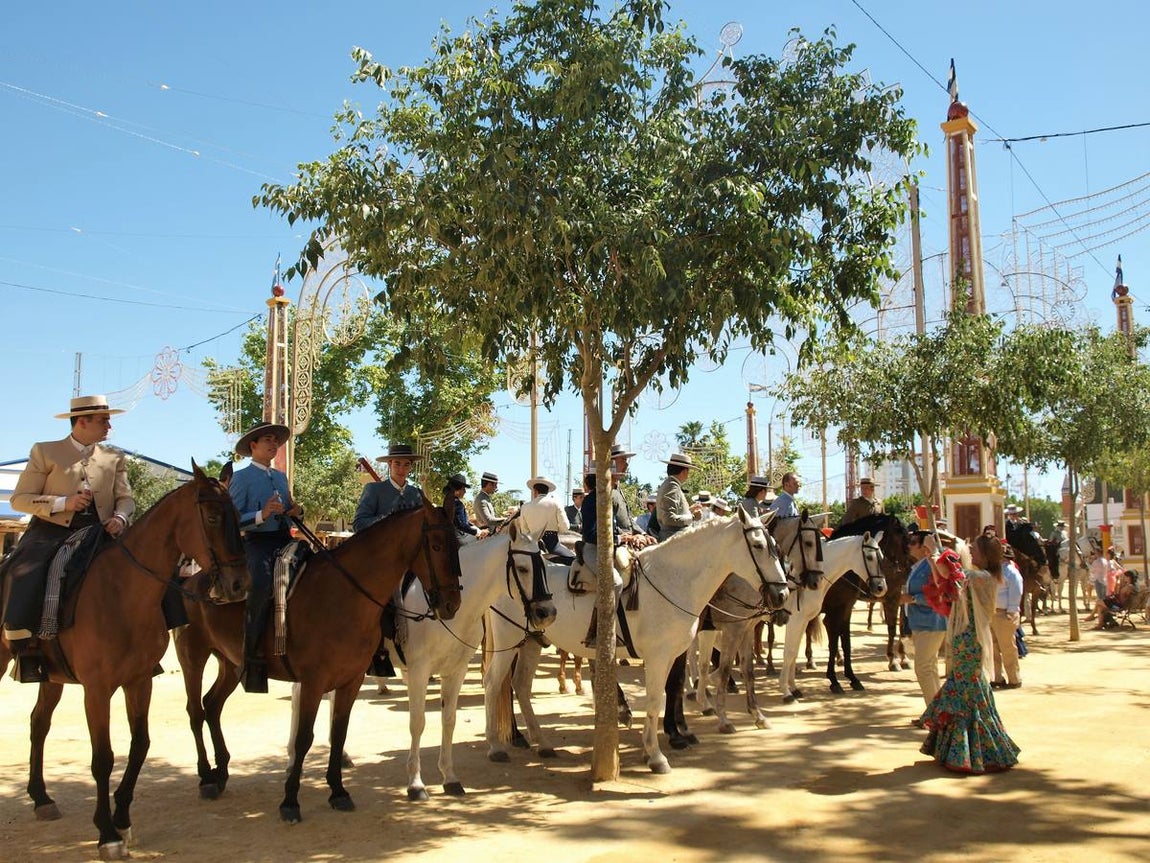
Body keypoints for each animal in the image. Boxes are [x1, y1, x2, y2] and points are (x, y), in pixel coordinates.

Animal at [0, 464, 249, 861]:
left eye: (238, 516)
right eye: (212, 516)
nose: (238, 584)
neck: (121, 592)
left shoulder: (139, 681)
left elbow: (140, 744)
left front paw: (122, 818)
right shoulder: (97, 691)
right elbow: (103, 757)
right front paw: (107, 833)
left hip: (53, 677)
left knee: (39, 724)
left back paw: (41, 798)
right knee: (200, 707)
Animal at [175, 500, 463, 824]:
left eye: (457, 544)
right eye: (436, 545)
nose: (451, 604)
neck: (343, 595)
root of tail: (191, 581)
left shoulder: (351, 680)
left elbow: (339, 733)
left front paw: (338, 791)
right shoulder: (314, 682)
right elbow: (304, 737)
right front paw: (290, 801)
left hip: (230, 664)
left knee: (212, 706)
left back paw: (221, 772)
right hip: (193, 657)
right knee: (195, 711)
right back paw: (206, 778)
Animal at [484, 507, 788, 774]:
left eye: (776, 545)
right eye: (758, 546)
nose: (782, 595)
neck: (671, 581)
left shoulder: (675, 654)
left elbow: (670, 692)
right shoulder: (659, 656)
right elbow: (656, 700)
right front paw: (657, 756)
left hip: (532, 641)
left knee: (521, 685)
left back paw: (542, 743)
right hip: (509, 640)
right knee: (494, 683)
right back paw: (496, 746)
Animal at [778, 532, 884, 703]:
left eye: (881, 556)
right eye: (869, 557)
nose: (881, 587)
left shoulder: (804, 621)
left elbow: (794, 652)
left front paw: (793, 688)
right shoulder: (796, 620)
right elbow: (789, 652)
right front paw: (786, 692)